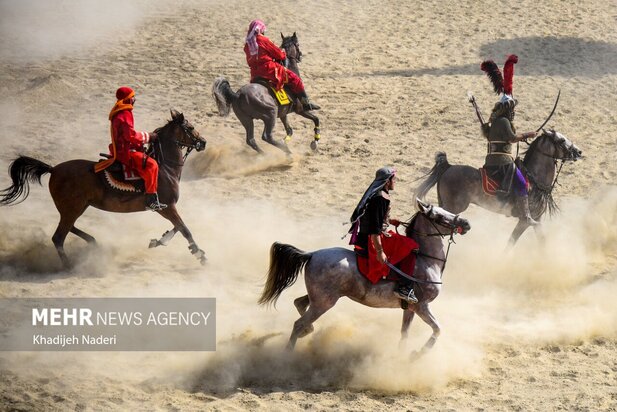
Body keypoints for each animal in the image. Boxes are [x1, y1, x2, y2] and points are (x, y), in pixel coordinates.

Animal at [0, 110, 208, 270]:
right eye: (190, 128)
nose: (204, 142)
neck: (164, 167)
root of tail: (53, 169)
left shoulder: (167, 208)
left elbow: (178, 227)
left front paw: (160, 241)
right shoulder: (166, 206)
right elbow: (184, 229)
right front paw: (200, 254)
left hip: (75, 208)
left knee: (69, 227)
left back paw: (92, 243)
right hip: (73, 208)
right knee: (58, 237)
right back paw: (69, 265)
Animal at [258, 198, 470, 352]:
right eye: (439, 216)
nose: (466, 223)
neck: (426, 260)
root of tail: (312, 254)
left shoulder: (410, 309)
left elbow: (404, 334)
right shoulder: (422, 306)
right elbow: (438, 329)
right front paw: (418, 354)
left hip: (319, 297)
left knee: (299, 304)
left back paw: (307, 331)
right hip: (324, 302)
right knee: (298, 323)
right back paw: (288, 354)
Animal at [412, 130, 580, 245]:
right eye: (561, 140)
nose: (578, 151)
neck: (533, 180)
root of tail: (448, 167)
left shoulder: (537, 219)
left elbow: (542, 241)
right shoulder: (525, 221)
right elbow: (511, 243)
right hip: (453, 207)